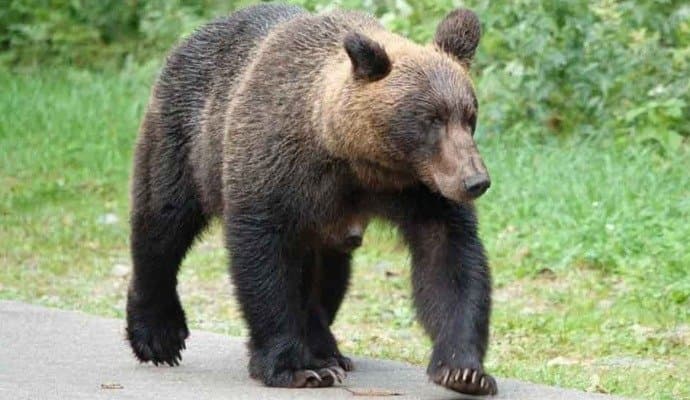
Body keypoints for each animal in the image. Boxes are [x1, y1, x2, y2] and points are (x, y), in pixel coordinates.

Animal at [126, 3, 495, 396]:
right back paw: (158, 335)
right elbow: (265, 261)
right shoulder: (275, 169)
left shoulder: (419, 190)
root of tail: (189, 39)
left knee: (329, 277)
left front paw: (464, 370)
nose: (475, 181)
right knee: (162, 221)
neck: (355, 158)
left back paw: (327, 350)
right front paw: (293, 368)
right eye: (431, 119)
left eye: (469, 116)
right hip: (186, 136)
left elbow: (449, 262)